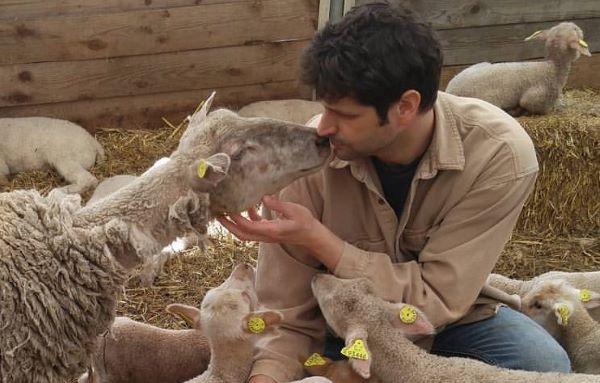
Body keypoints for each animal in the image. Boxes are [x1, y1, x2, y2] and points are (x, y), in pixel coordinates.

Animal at [446, 22, 592, 115]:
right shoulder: (536, 99)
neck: (552, 67)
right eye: (575, 29)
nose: (578, 28)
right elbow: (528, 105)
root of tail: (450, 90)